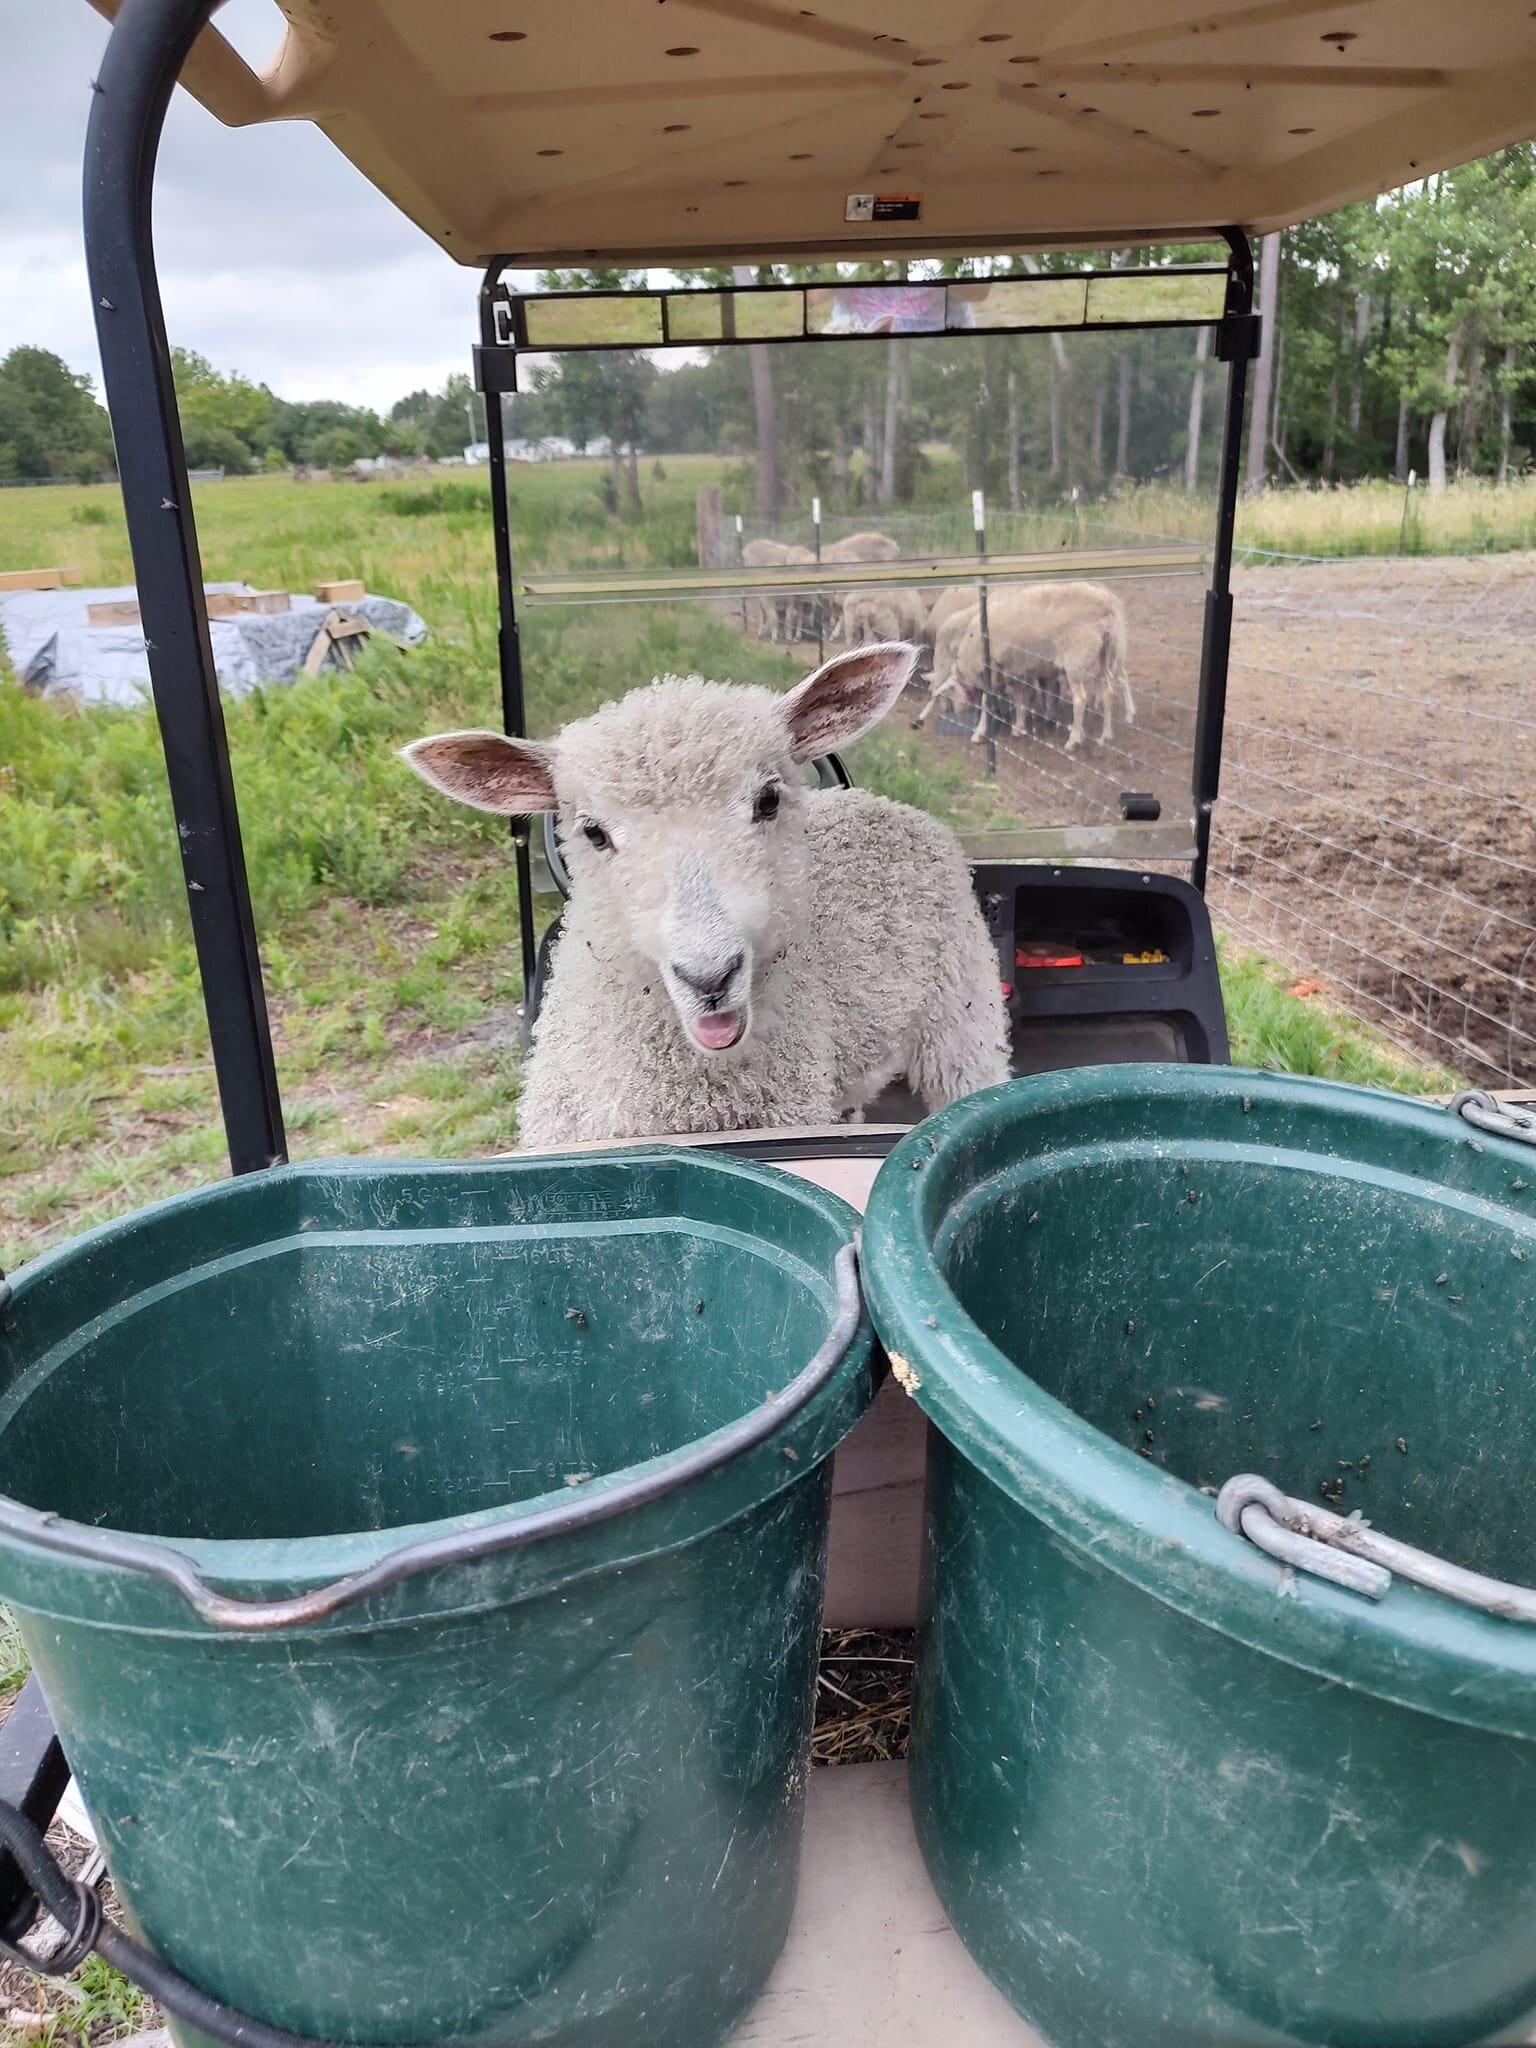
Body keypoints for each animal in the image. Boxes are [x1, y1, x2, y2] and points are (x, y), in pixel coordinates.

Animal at [403, 638, 1015, 1155]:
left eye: (768, 800)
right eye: (592, 832)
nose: (709, 976)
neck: (696, 1110)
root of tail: (878, 800)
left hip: (964, 1008)